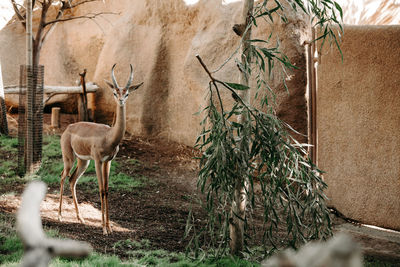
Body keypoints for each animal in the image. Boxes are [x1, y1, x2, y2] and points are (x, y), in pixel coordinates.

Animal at [57, 63, 142, 236]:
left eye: (127, 93)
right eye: (115, 92)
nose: (121, 101)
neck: (109, 137)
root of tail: (68, 127)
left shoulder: (108, 161)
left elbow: (107, 190)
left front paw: (109, 227)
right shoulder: (97, 161)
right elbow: (101, 189)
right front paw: (103, 228)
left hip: (83, 162)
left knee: (72, 180)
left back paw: (80, 218)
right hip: (69, 159)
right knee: (62, 177)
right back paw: (60, 216)